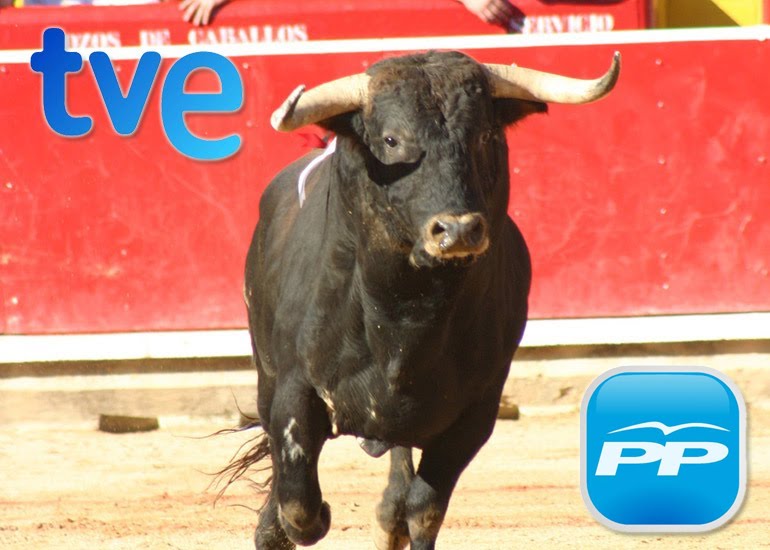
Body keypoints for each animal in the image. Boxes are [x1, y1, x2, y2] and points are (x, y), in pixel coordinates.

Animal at [228, 50, 620, 549]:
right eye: (392, 140)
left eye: (485, 135)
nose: (457, 229)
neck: (403, 313)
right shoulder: (294, 391)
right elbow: (298, 500)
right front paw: (281, 524)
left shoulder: (476, 413)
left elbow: (425, 508)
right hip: (266, 373)